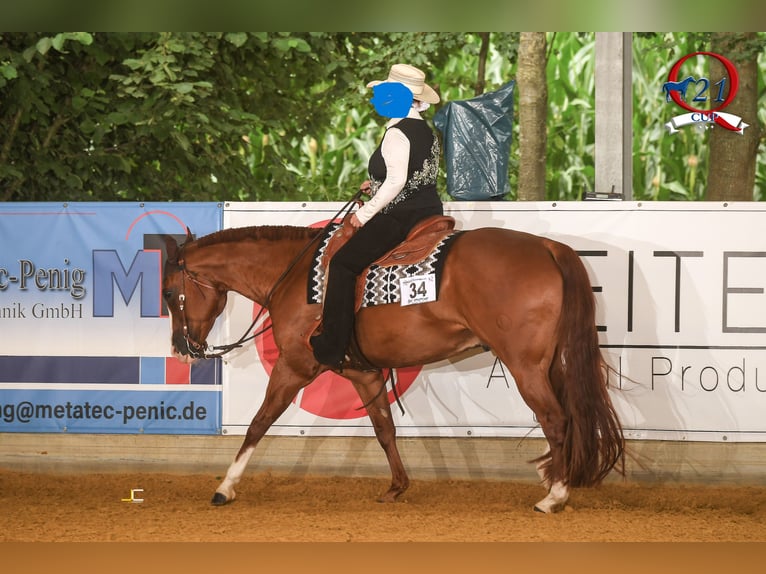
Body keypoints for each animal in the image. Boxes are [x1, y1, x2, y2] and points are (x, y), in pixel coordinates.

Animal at [161, 218, 625, 514]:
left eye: (167, 293)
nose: (182, 349)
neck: (294, 276)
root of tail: (548, 246)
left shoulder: (295, 366)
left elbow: (259, 422)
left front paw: (225, 488)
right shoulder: (363, 373)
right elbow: (384, 428)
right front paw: (397, 487)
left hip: (525, 366)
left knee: (556, 419)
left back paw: (554, 497)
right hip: (551, 365)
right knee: (568, 417)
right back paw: (555, 481)